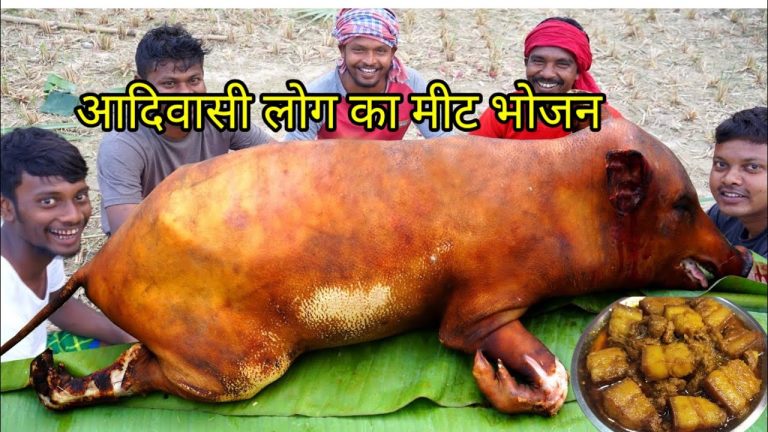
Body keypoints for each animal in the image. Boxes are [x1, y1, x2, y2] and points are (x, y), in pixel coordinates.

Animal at [1, 118, 749, 416]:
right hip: (241, 365)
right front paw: (493, 375)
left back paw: (42, 375)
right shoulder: (480, 304)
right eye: (682, 203)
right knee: (147, 375)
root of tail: (98, 265)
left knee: (122, 368)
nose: (741, 255)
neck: (558, 205)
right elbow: (545, 371)